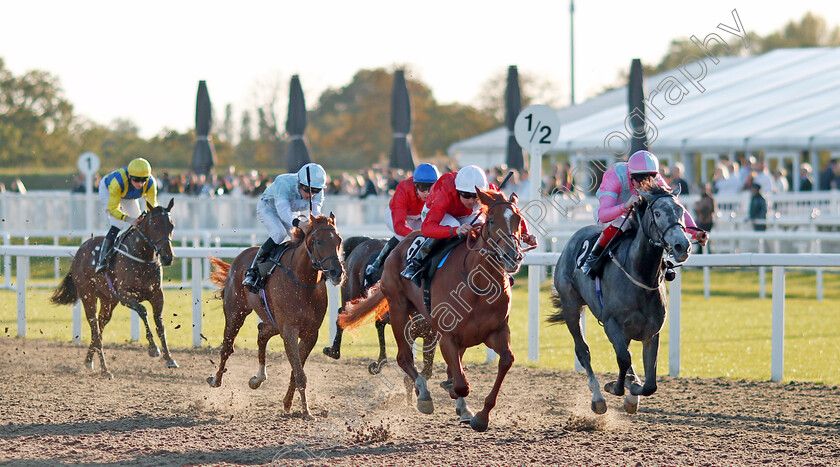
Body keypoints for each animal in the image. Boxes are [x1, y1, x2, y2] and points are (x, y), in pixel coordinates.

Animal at [49, 198, 177, 380]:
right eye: (155, 226)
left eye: (171, 225)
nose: (167, 257)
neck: (141, 257)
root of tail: (81, 249)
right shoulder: (125, 295)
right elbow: (143, 311)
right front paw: (153, 349)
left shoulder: (157, 295)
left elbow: (160, 323)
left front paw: (169, 358)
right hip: (88, 296)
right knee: (95, 328)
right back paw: (105, 370)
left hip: (108, 301)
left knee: (99, 328)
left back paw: (88, 361)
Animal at [207, 214, 344, 422]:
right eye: (319, 241)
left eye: (339, 240)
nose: (337, 272)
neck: (302, 281)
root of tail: (239, 257)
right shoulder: (289, 331)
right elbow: (299, 372)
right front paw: (306, 412)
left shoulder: (310, 334)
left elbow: (296, 370)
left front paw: (288, 403)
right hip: (235, 313)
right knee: (227, 347)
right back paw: (216, 379)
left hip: (273, 321)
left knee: (262, 332)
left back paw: (258, 378)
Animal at [324, 234, 440, 384]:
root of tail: (365, 240)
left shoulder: (432, 335)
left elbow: (427, 370)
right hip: (352, 296)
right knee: (343, 316)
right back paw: (334, 351)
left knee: (379, 324)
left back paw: (379, 362)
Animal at [336, 189, 524, 432]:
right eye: (491, 220)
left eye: (518, 219)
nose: (513, 256)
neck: (477, 284)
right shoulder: (446, 336)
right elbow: (460, 383)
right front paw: (451, 394)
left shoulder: (496, 331)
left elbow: (505, 361)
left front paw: (481, 416)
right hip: (398, 309)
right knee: (403, 357)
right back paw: (424, 395)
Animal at [552, 188, 688, 414]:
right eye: (657, 213)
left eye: (682, 211)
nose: (682, 245)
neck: (640, 276)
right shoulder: (611, 324)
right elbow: (623, 358)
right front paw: (615, 387)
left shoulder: (652, 332)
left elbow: (650, 383)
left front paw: (633, 392)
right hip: (571, 305)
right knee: (583, 350)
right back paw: (598, 396)